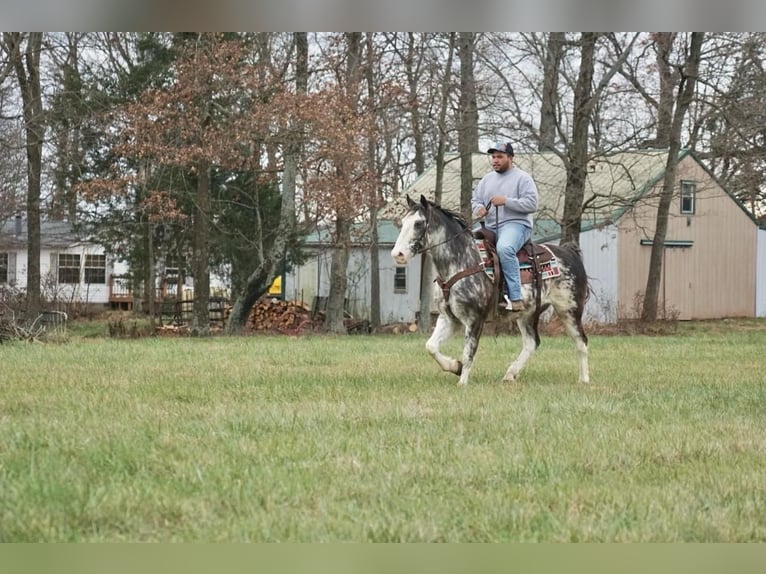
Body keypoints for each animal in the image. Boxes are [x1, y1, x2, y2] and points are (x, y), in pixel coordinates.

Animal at [392, 196, 592, 390]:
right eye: (403, 221)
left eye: (418, 223)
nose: (397, 254)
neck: (462, 261)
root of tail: (569, 252)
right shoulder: (449, 318)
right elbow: (431, 347)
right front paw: (454, 367)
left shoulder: (475, 319)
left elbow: (468, 353)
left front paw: (462, 382)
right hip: (527, 314)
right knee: (532, 342)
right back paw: (510, 374)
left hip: (569, 311)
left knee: (581, 342)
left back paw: (584, 380)